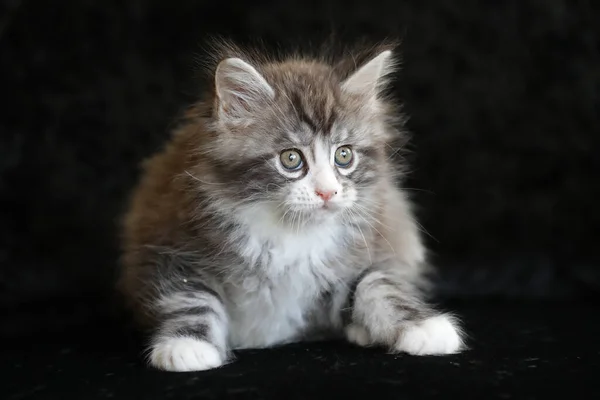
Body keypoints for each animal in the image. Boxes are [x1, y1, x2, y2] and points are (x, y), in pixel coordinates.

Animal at [117, 40, 464, 372]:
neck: (292, 234)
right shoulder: (171, 247)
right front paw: (187, 346)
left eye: (344, 155)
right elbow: (192, 297)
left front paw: (424, 328)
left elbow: (380, 285)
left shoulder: (369, 249)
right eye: (291, 159)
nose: (327, 192)